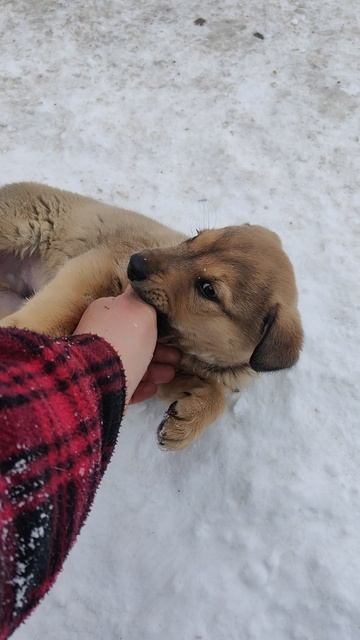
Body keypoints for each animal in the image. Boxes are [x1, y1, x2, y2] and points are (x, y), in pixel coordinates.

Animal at [0, 180, 302, 450]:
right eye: (195, 236)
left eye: (208, 290)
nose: (135, 262)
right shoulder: (101, 264)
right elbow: (63, 304)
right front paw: (25, 333)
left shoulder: (159, 370)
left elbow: (215, 396)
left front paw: (188, 420)